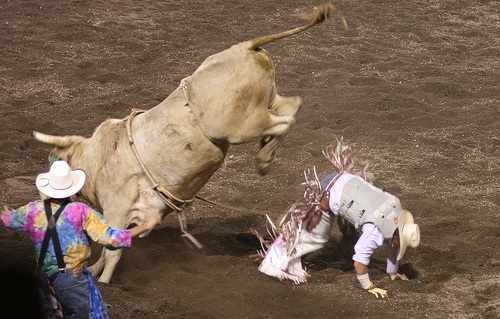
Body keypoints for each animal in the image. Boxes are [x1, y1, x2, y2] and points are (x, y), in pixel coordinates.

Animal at [34, 3, 340, 284]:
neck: (97, 157)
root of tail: (245, 48)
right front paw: (96, 270)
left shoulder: (117, 209)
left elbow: (112, 249)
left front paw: (104, 282)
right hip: (265, 103)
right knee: (292, 105)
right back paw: (266, 150)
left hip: (241, 125)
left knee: (284, 121)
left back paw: (263, 159)